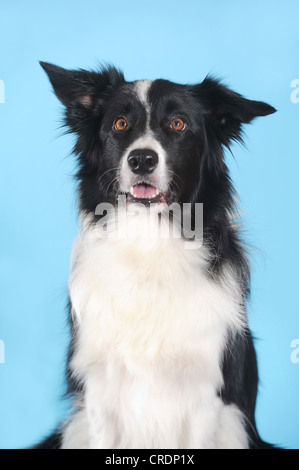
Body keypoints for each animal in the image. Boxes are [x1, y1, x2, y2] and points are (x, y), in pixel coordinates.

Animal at [36, 62, 278, 448]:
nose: (141, 159)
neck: (148, 241)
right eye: (120, 124)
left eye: (178, 124)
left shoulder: (205, 391)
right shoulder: (99, 390)